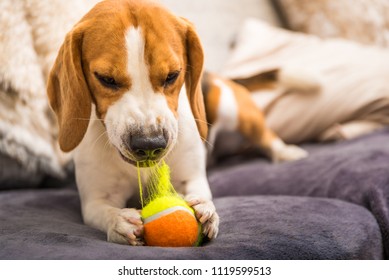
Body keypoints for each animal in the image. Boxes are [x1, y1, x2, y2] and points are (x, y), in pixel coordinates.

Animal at [46, 0, 217, 245]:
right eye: (106, 79)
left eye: (172, 75)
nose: (149, 144)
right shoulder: (96, 199)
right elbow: (104, 211)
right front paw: (120, 221)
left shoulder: (190, 177)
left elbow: (200, 192)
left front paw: (206, 209)